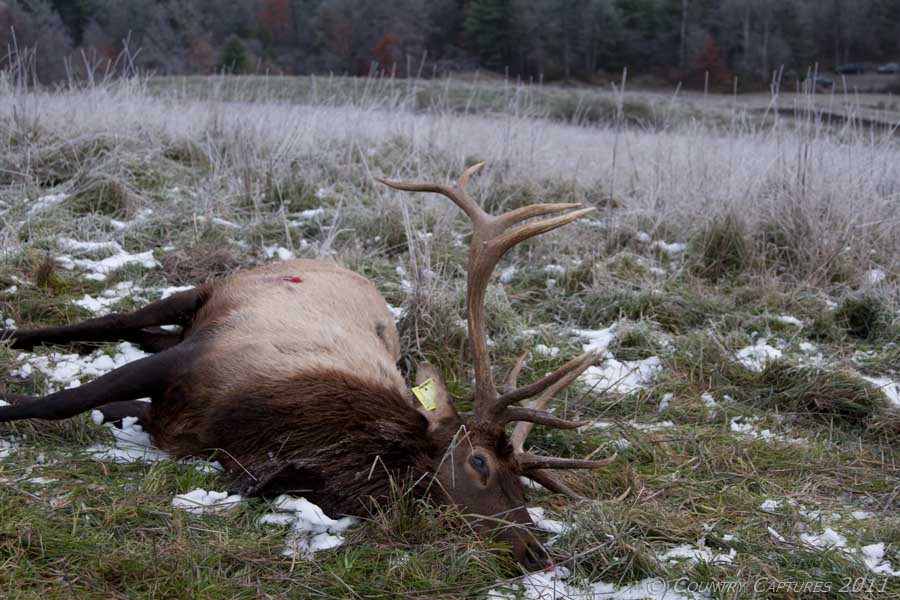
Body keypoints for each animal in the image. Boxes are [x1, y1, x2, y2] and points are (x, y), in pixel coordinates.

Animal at [0, 163, 610, 570]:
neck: (270, 433)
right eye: (479, 463)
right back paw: (17, 334)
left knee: (142, 333)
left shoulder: (182, 427)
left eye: (523, 479)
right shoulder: (199, 360)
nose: (539, 552)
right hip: (208, 292)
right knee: (122, 318)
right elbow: (62, 401)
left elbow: (101, 406)